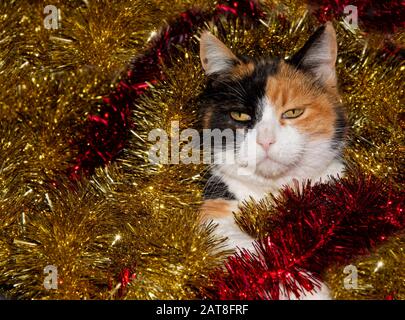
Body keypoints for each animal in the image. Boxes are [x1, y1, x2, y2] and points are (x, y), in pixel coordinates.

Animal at [197, 23, 346, 300]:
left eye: (294, 112)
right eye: (240, 115)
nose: (265, 141)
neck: (273, 190)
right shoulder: (212, 208)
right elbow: (248, 246)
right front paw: (305, 288)